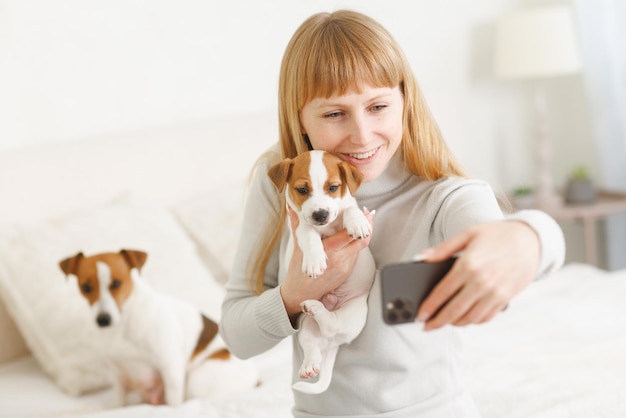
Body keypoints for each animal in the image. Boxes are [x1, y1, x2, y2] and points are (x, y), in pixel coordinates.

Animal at [56, 250, 256, 406]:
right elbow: (119, 401)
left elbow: (174, 402)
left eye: (116, 283)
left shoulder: (170, 368)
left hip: (198, 380)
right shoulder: (118, 375)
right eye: (85, 287)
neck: (123, 324)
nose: (103, 320)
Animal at [266, 150, 372, 396]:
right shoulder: (299, 227)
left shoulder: (346, 206)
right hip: (306, 326)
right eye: (302, 190)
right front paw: (315, 260)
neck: (327, 228)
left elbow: (350, 208)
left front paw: (358, 222)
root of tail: (332, 344)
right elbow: (309, 233)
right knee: (315, 343)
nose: (320, 215)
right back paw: (309, 364)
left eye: (333, 187)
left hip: (355, 312)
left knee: (333, 324)